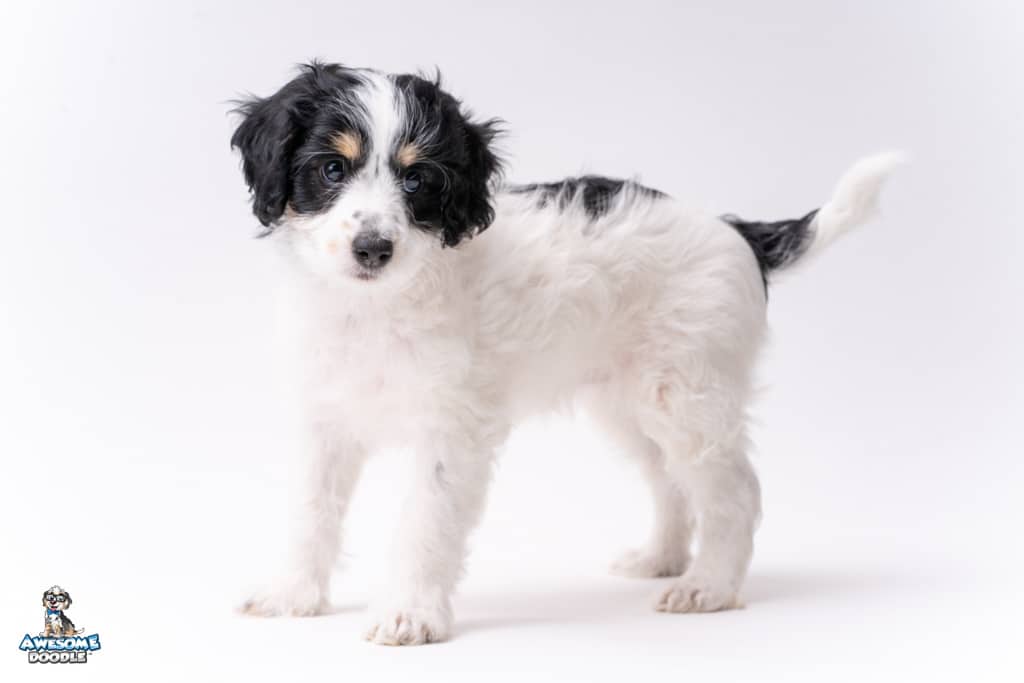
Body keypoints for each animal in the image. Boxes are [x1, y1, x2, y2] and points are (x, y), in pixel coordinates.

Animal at [230, 61, 897, 643]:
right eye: (331, 169)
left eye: (417, 180)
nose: (372, 248)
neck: (373, 307)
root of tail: (740, 232)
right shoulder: (324, 420)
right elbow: (310, 510)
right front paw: (292, 596)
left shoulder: (450, 432)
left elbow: (424, 523)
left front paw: (409, 615)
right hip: (628, 405)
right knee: (670, 480)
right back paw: (661, 558)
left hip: (688, 395)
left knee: (734, 491)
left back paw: (709, 586)